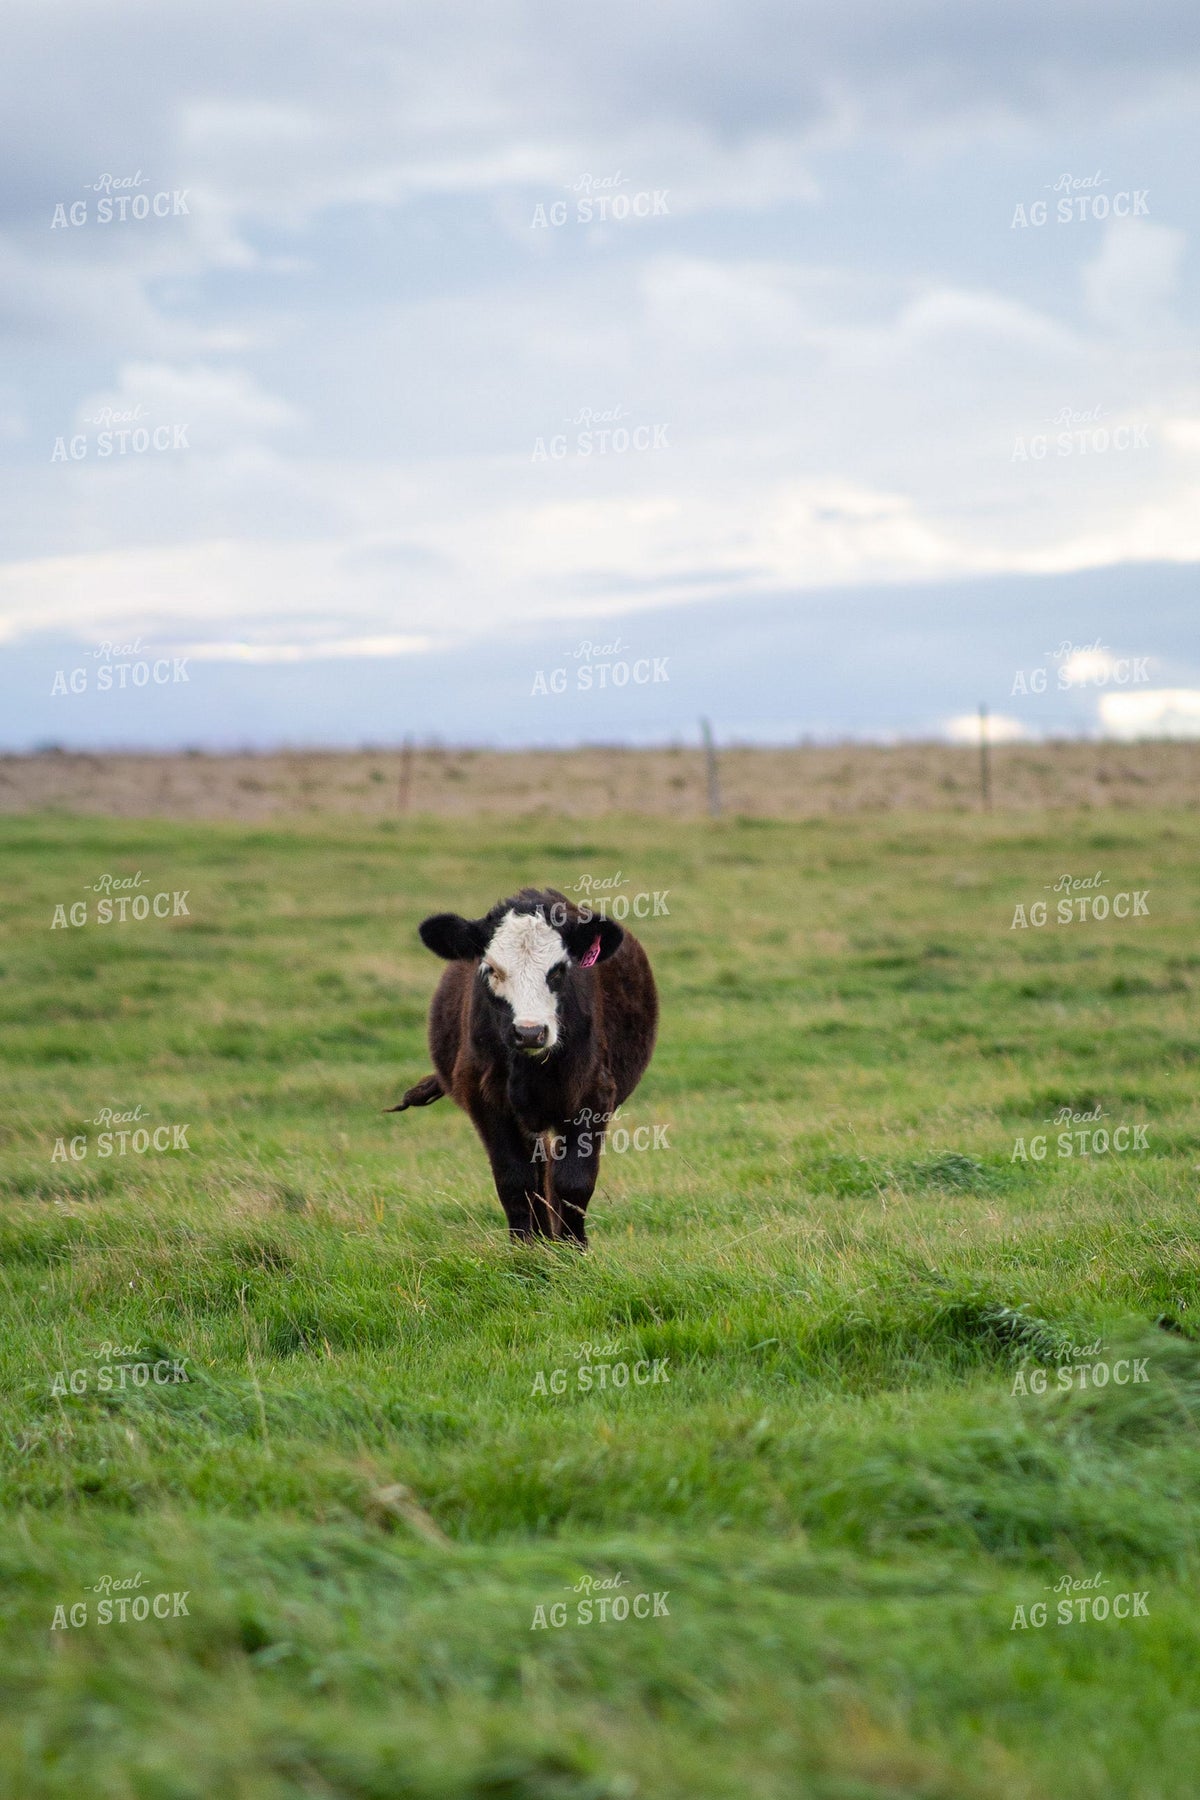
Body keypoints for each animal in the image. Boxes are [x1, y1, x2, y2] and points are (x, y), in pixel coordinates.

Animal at [387, 887, 658, 1247]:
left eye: (558, 971)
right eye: (491, 969)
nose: (530, 1031)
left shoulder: (593, 1096)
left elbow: (574, 1180)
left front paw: (573, 1247)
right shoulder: (485, 1100)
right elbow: (514, 1179)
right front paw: (524, 1246)